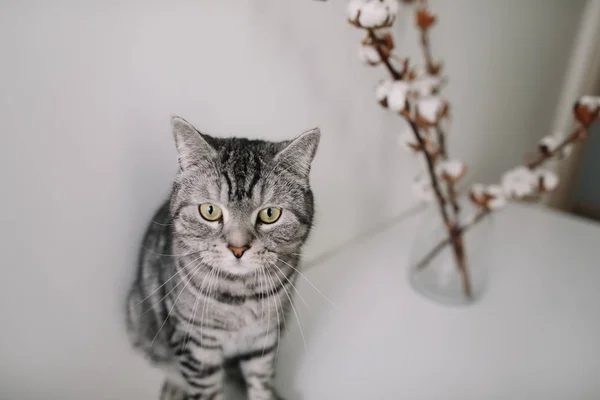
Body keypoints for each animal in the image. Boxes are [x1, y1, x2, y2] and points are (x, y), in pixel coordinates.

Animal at [125, 116, 318, 400]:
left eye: (270, 214)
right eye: (210, 211)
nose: (238, 248)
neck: (240, 296)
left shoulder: (264, 339)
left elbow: (261, 382)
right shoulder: (196, 347)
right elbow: (206, 390)